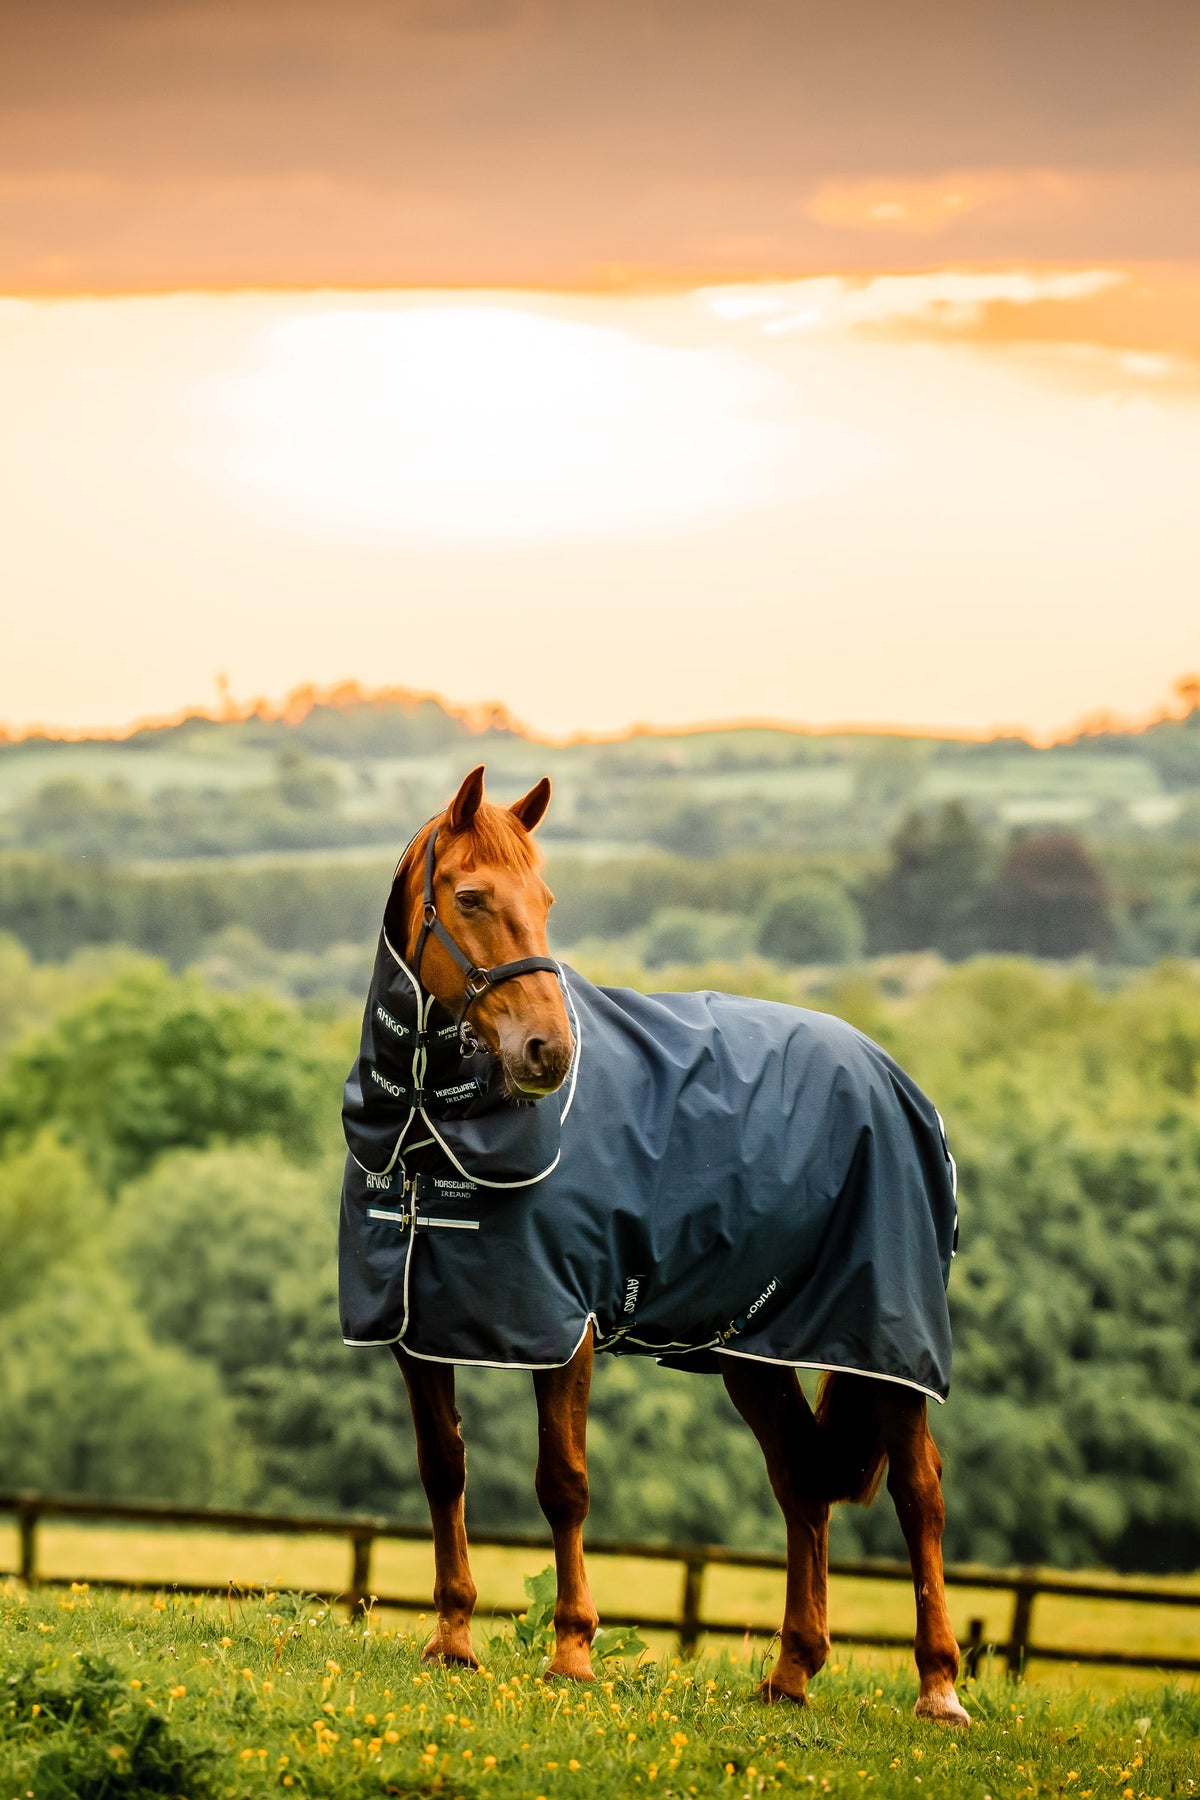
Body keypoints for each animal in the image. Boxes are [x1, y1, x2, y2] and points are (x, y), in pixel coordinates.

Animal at [338, 765, 969, 1726]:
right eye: (472, 897)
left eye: (546, 900)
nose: (548, 1053)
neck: (426, 1134)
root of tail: (894, 1079)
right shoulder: (419, 1328)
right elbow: (442, 1470)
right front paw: (452, 1639)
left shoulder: (564, 1328)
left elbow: (562, 1482)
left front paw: (571, 1651)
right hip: (755, 1350)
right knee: (801, 1482)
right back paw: (792, 1671)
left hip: (886, 1343)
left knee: (918, 1492)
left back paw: (938, 1687)